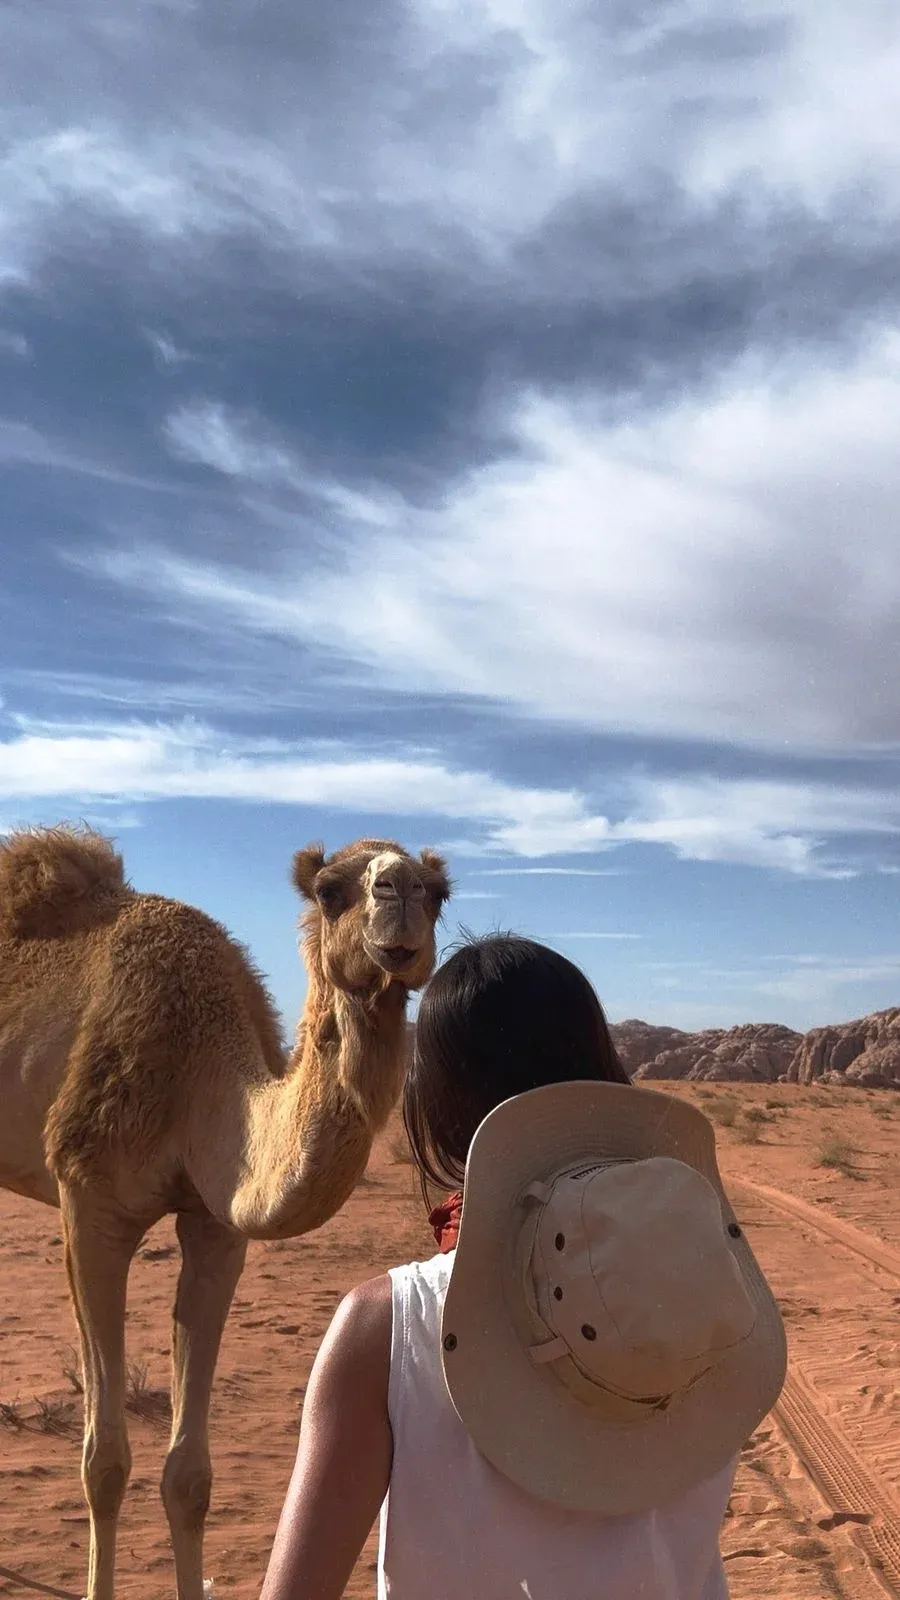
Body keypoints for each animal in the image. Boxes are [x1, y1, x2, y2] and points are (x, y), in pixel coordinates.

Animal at [0, 823, 450, 1600]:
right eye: (330, 889)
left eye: (440, 893)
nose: (400, 900)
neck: (194, 1073)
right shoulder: (88, 1200)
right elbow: (104, 1464)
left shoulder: (216, 1226)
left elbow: (189, 1478)